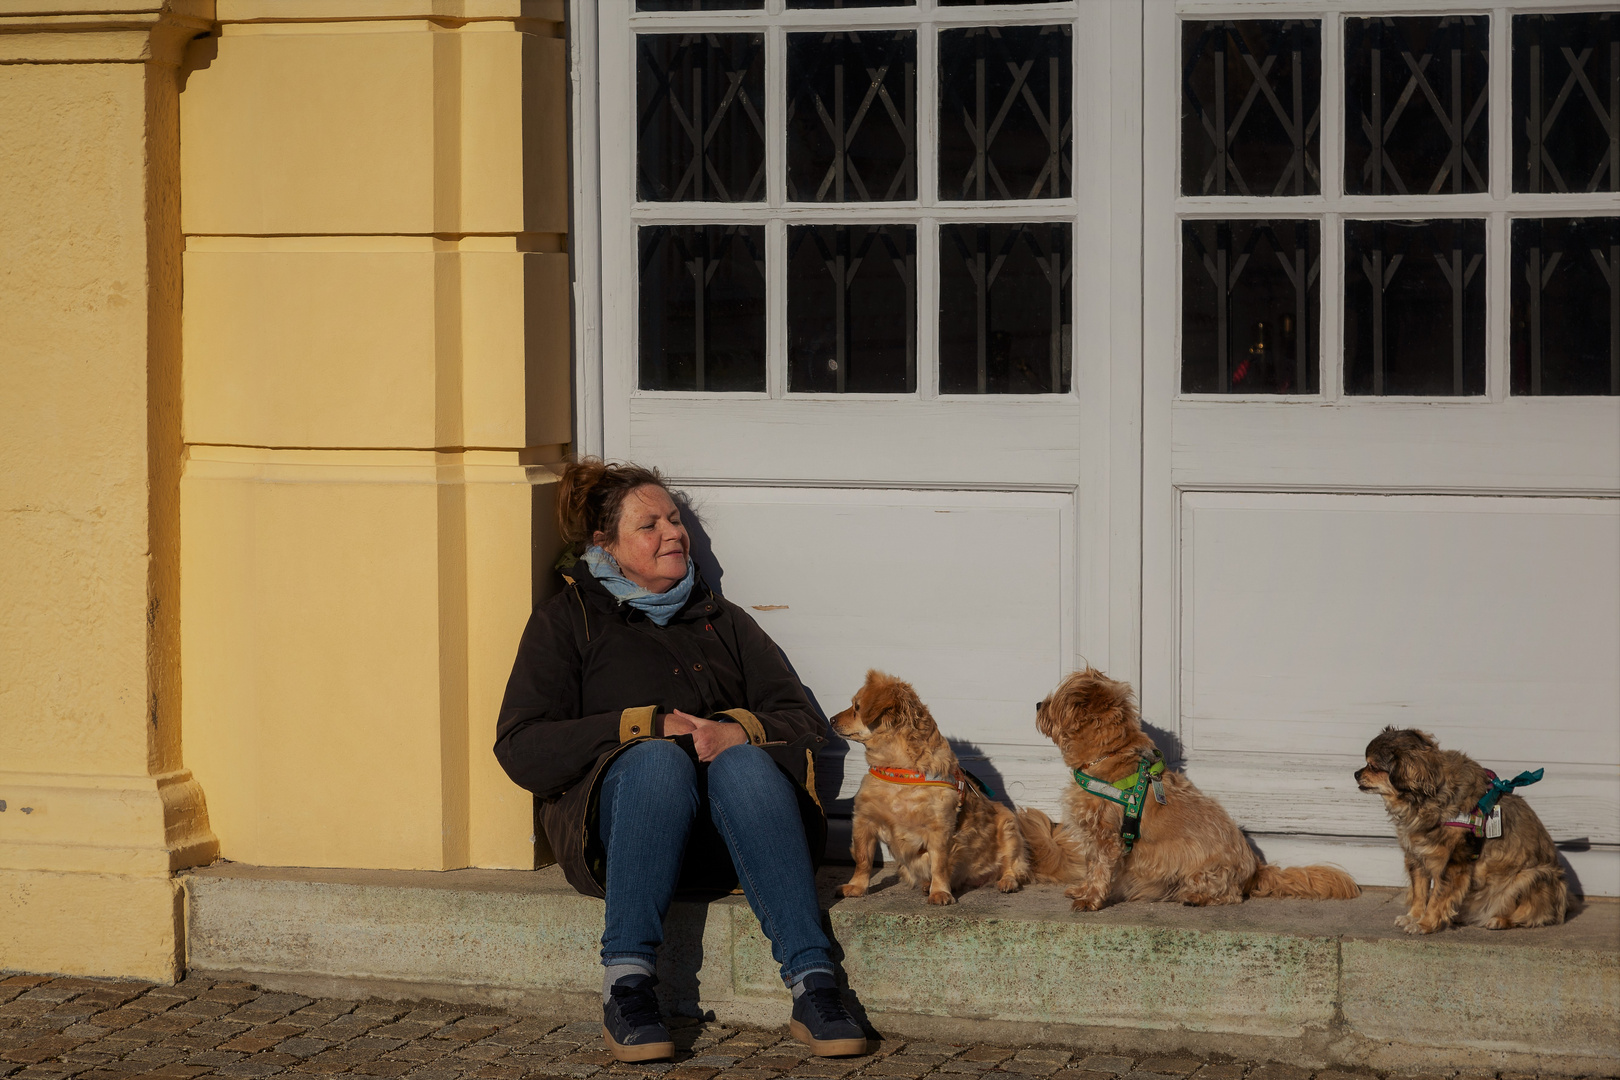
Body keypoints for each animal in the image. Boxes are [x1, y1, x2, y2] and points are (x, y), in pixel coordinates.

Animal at [829, 670, 1030, 906]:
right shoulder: (864, 821)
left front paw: (940, 891)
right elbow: (863, 859)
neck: (899, 771)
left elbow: (939, 865)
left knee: (1012, 866)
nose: (831, 719)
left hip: (1008, 825)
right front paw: (857, 887)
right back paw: (927, 885)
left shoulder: (940, 830)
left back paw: (1007, 881)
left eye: (857, 707)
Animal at [1017, 667, 1360, 913]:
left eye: (1057, 701)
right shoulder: (1093, 838)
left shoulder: (1106, 837)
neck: (1109, 756)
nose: (1037, 703)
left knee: (1230, 896)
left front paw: (1091, 899)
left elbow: (1099, 869)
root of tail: (1256, 869)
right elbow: (1090, 867)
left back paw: (1195, 897)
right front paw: (1083, 889)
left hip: (1203, 870)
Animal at [1354, 731, 1568, 932]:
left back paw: (1499, 920)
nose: (1355, 773)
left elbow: (1437, 897)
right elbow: (1420, 891)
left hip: (1531, 877)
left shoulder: (1453, 864)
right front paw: (1413, 916)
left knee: (1529, 916)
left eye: (1373, 767)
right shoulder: (1417, 857)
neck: (1425, 800)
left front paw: (1425, 924)